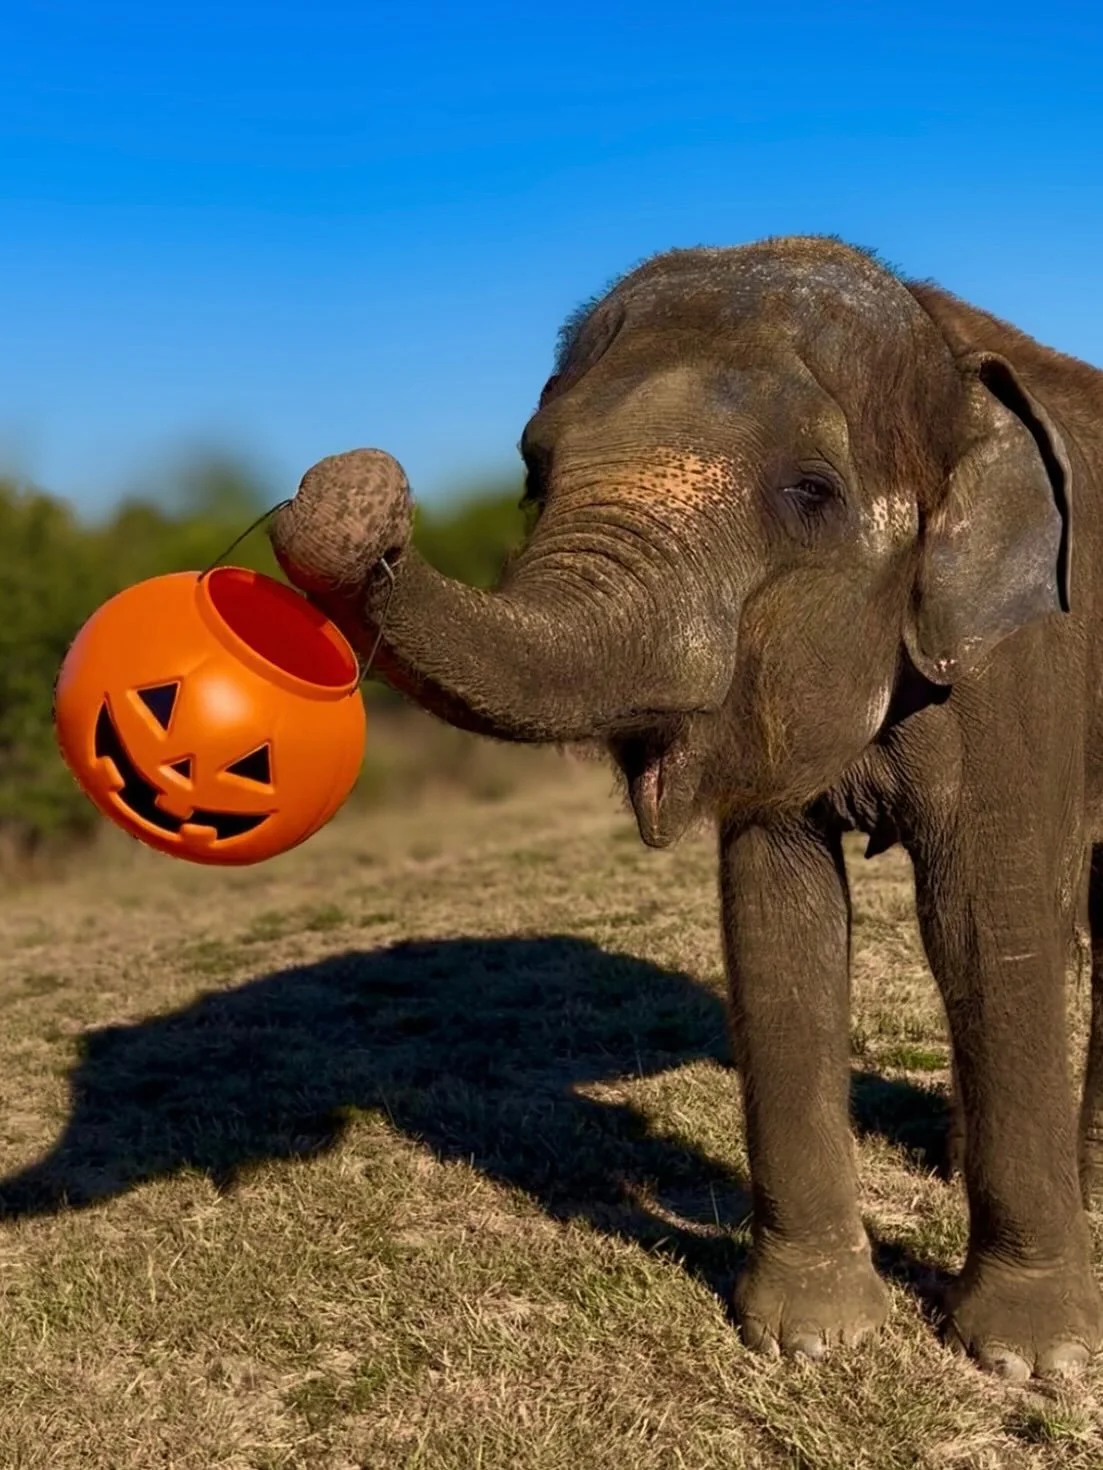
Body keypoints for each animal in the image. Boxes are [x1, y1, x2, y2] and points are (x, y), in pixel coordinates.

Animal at [269, 234, 1103, 1382]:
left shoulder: (1025, 655)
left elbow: (988, 923)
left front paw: (1030, 1362)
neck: (943, 354)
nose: (359, 488)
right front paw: (807, 1342)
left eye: (810, 491)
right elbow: (776, 918)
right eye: (533, 469)